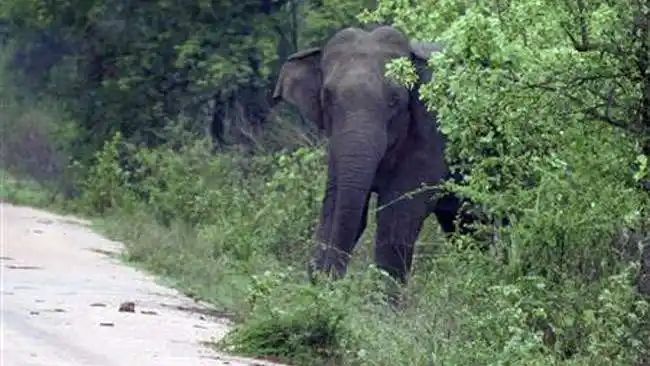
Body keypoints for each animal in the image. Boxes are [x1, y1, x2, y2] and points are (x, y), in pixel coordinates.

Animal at [270, 25, 468, 284]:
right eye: (327, 97)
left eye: (395, 100)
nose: (326, 278)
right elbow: (335, 203)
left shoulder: (433, 131)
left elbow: (398, 215)